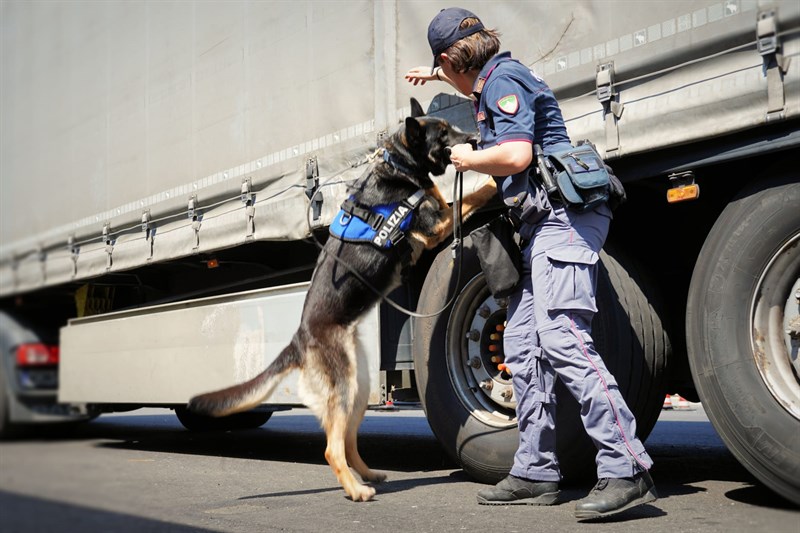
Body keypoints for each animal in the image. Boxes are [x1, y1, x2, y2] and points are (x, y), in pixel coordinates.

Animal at [190, 97, 496, 500]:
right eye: (444, 133)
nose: (476, 138)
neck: (398, 165)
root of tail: (299, 339)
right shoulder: (438, 224)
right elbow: (475, 195)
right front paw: (496, 178)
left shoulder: (441, 209)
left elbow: (457, 196)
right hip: (345, 387)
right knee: (332, 448)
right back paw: (355, 489)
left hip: (359, 386)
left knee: (348, 441)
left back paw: (368, 475)